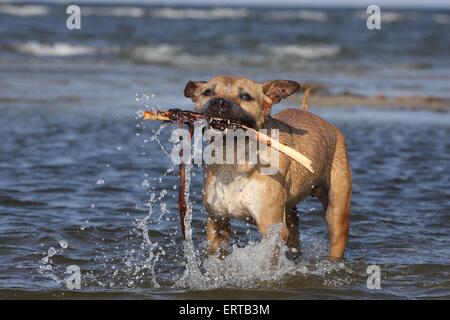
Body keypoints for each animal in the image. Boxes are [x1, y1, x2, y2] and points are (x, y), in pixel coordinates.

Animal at [183, 76, 352, 262]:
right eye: (208, 92)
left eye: (245, 96)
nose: (220, 102)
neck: (235, 158)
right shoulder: (217, 221)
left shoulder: (271, 228)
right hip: (290, 213)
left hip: (337, 212)